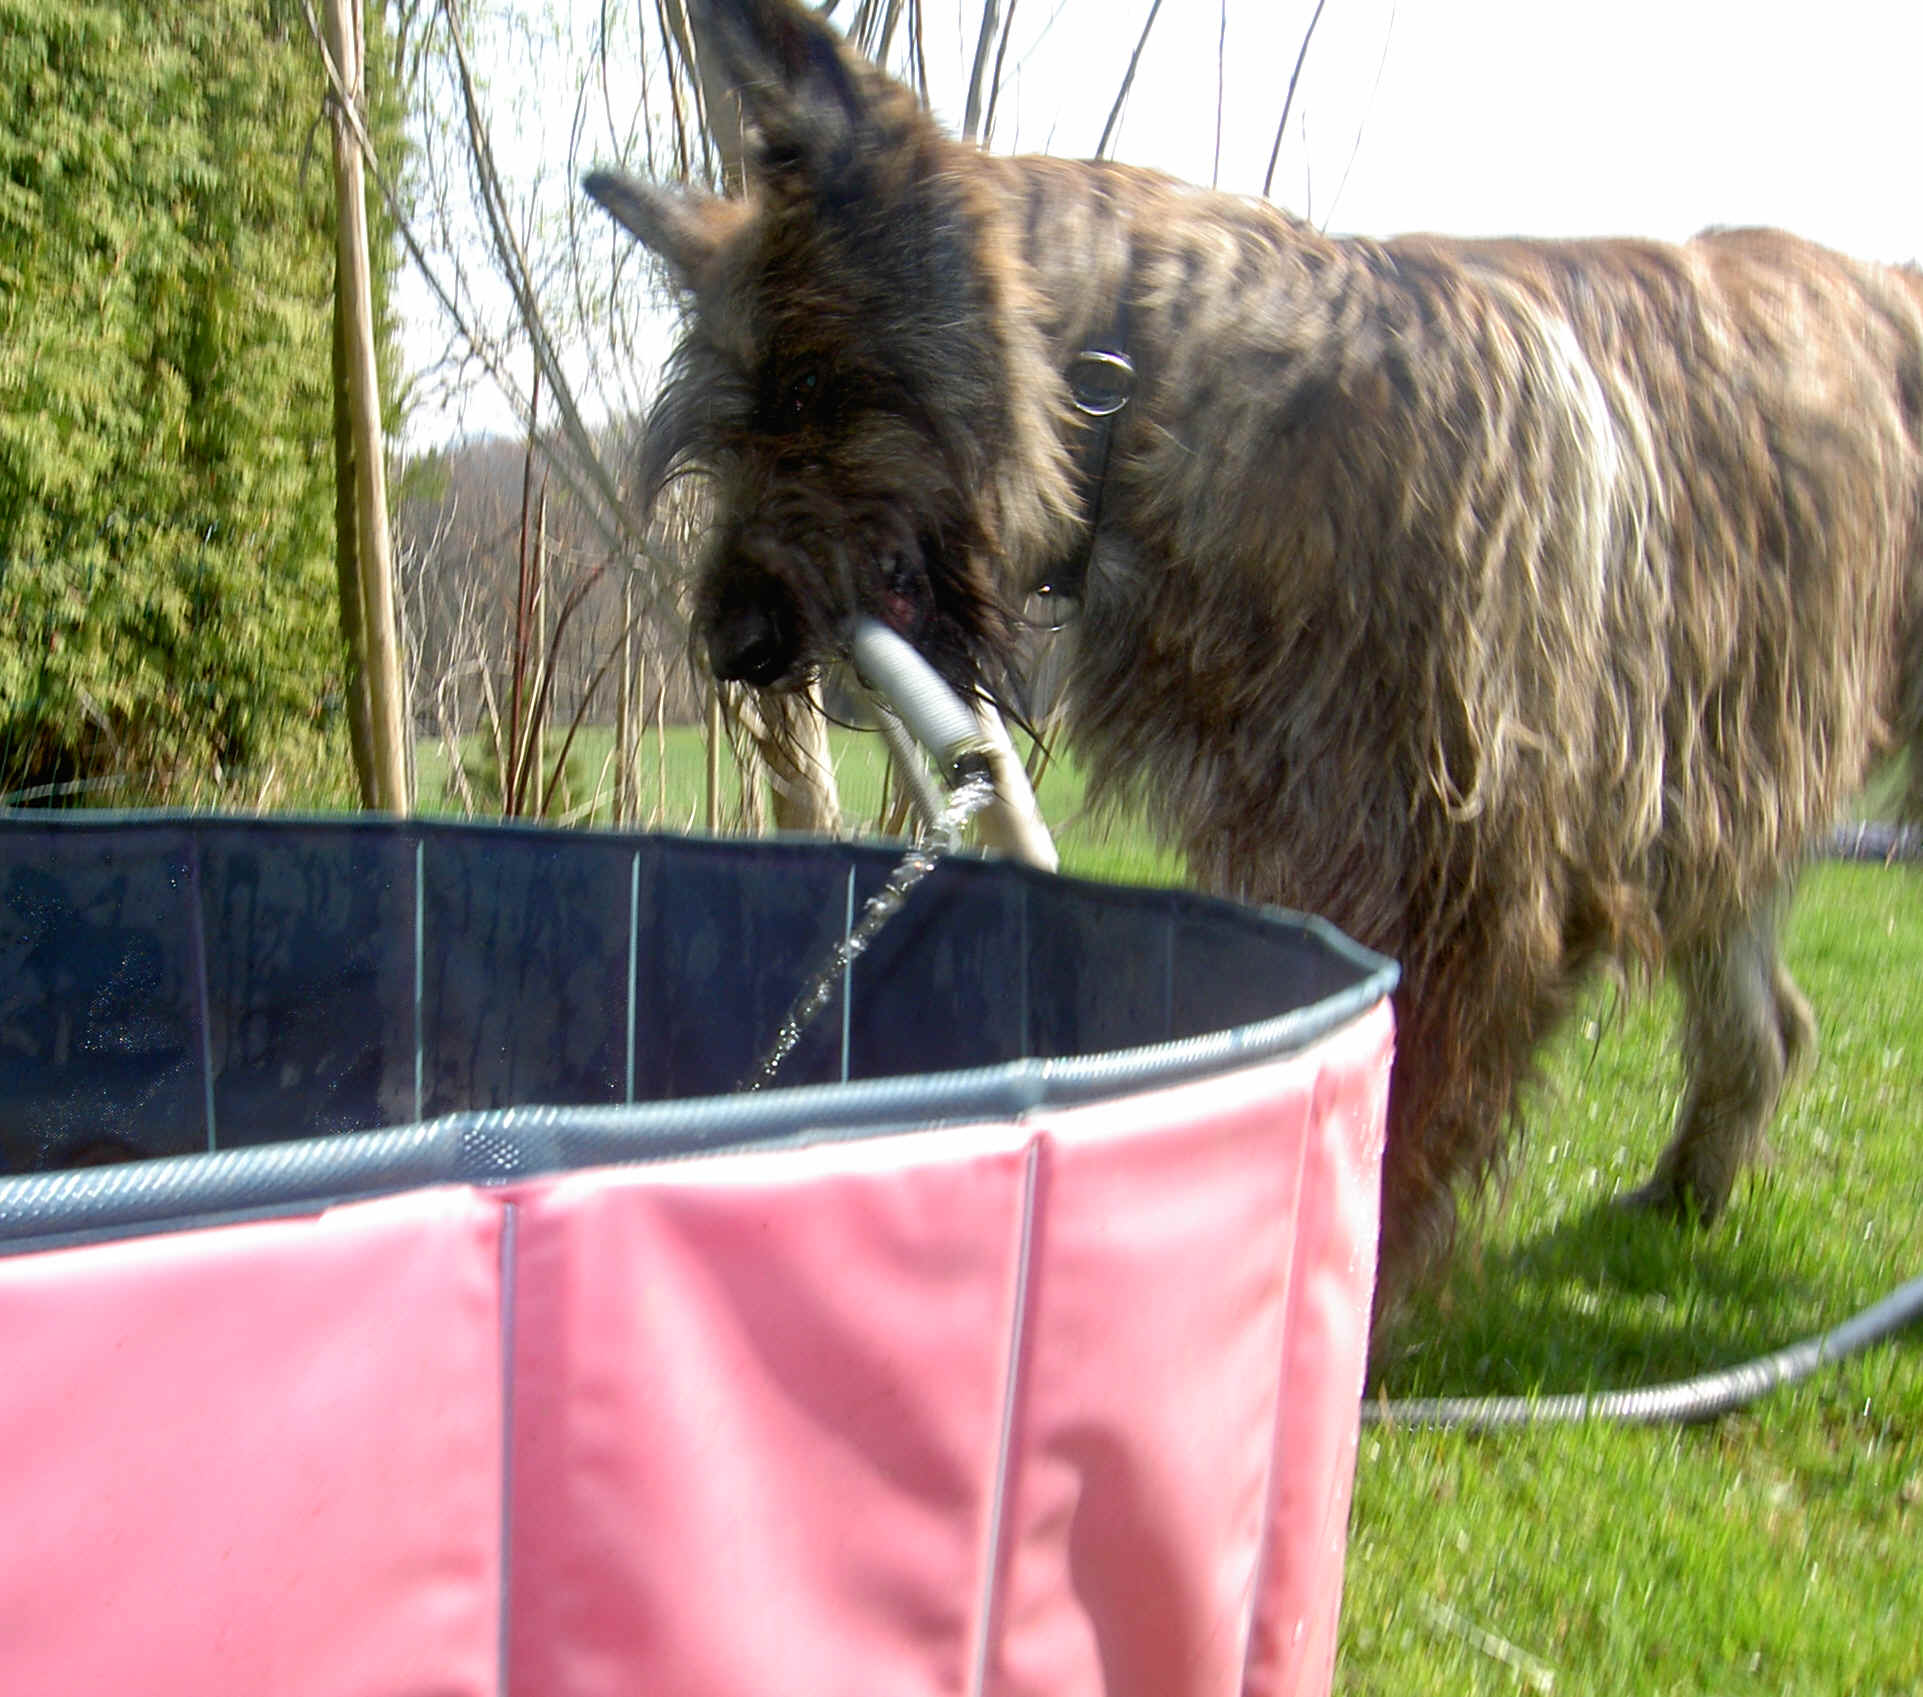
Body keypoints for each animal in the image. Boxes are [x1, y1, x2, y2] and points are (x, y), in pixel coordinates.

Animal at [584, 0, 1923, 1323]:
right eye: (730, 426)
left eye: (813, 384)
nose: (735, 642)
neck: (1143, 391)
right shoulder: (1326, 835)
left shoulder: (1473, 890)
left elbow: (1399, 1128)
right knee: (1768, 1021)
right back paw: (1690, 1187)